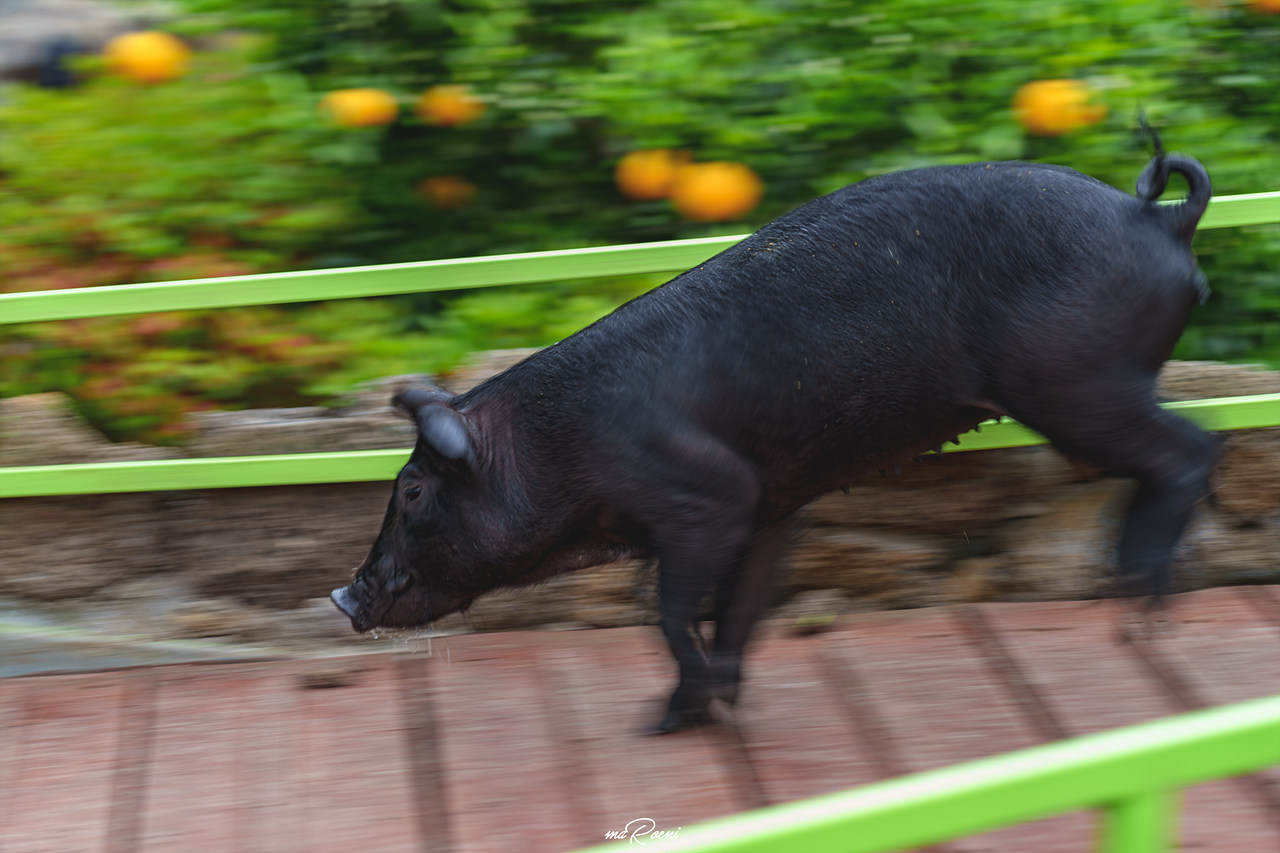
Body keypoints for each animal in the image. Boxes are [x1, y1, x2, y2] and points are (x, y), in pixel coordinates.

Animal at [330, 146, 1208, 732]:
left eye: (412, 489)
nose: (343, 593)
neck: (561, 450)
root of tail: (1157, 216)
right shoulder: (768, 505)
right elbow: (739, 608)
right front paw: (701, 708)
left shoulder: (708, 499)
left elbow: (671, 610)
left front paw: (663, 718)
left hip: (1080, 384)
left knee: (1190, 447)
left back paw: (1139, 603)